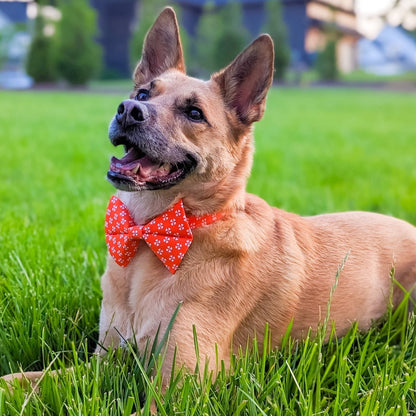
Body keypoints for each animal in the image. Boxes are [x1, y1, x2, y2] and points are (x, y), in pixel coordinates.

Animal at [3, 4, 416, 402]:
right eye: (143, 94)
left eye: (194, 113)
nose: (127, 110)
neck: (152, 233)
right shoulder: (105, 363)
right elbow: (24, 381)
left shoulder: (179, 389)